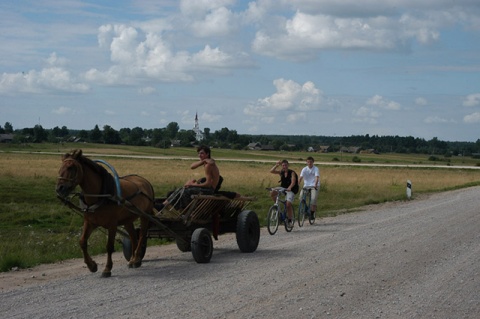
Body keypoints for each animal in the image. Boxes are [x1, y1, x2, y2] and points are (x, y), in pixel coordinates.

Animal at [55, 150, 155, 278]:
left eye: (71, 167)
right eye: (60, 167)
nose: (60, 188)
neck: (101, 195)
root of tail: (145, 181)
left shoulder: (112, 225)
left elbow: (109, 246)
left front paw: (107, 269)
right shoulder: (90, 222)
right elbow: (82, 242)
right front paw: (92, 265)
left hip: (144, 215)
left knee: (141, 236)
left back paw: (137, 259)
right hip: (128, 219)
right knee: (133, 237)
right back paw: (133, 260)